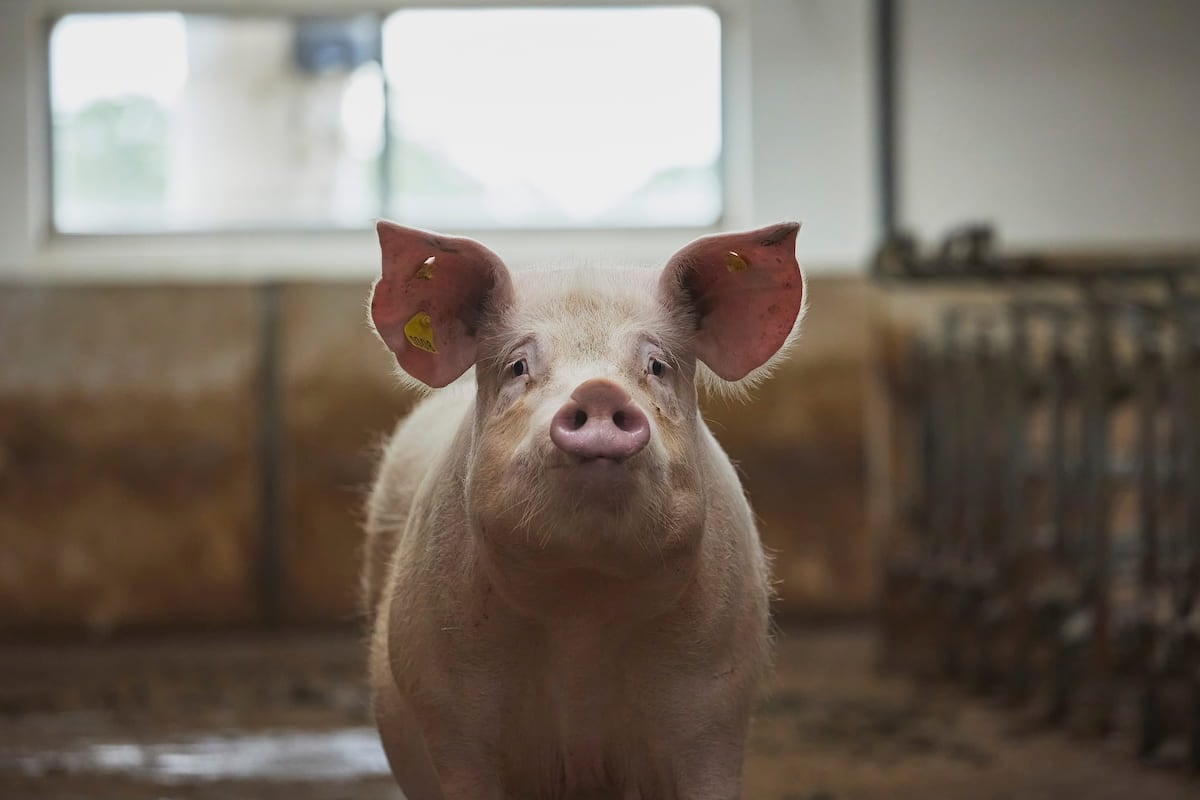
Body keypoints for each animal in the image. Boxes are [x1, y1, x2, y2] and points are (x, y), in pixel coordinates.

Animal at [362, 220, 806, 800]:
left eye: (656, 365)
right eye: (518, 366)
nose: (598, 390)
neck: (582, 609)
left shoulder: (716, 704)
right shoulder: (452, 717)